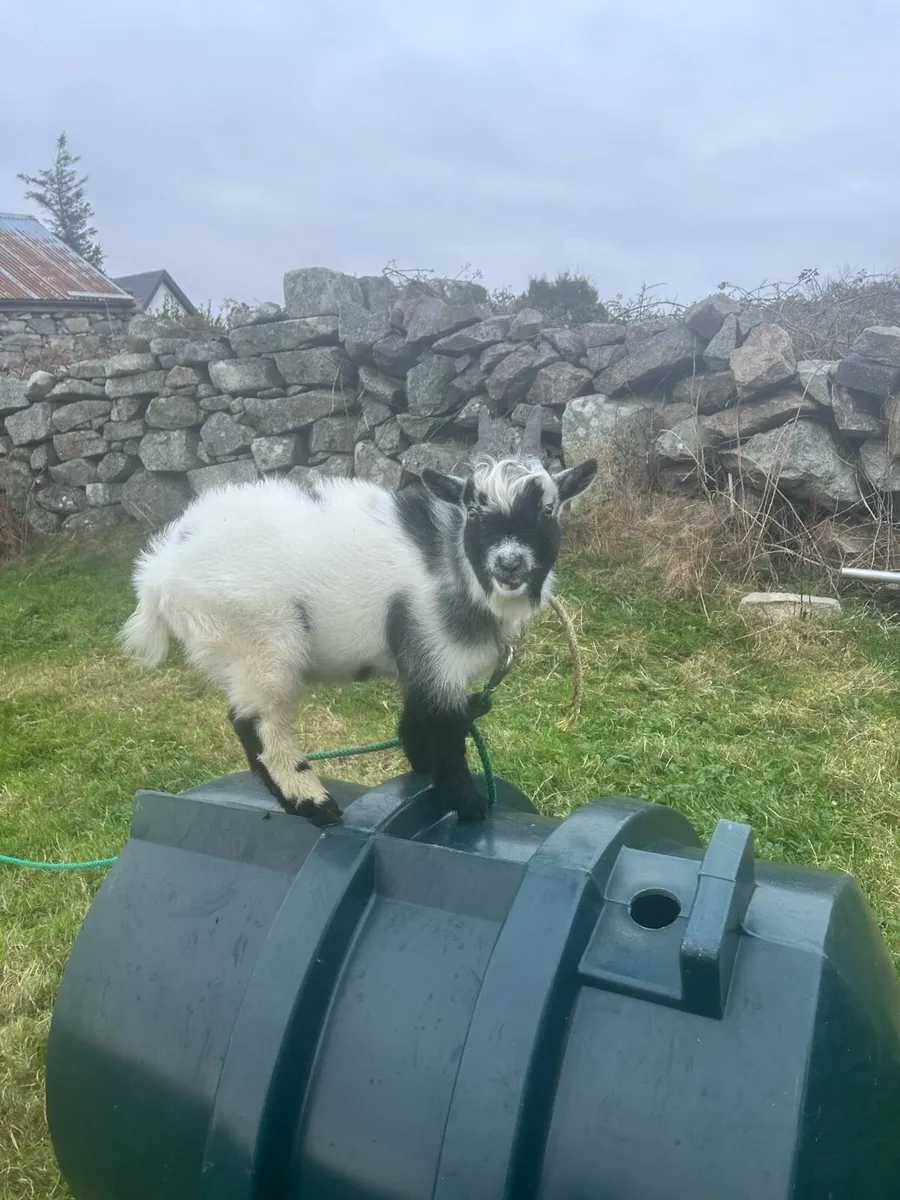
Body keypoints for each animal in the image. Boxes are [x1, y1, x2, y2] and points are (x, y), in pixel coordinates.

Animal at [119, 408, 598, 827]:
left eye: (548, 509)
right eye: (474, 510)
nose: (510, 563)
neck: (454, 565)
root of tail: (158, 572)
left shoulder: (419, 660)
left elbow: (416, 720)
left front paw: (421, 768)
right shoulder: (436, 652)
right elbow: (445, 730)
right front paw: (467, 803)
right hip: (259, 643)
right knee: (256, 723)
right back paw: (313, 801)